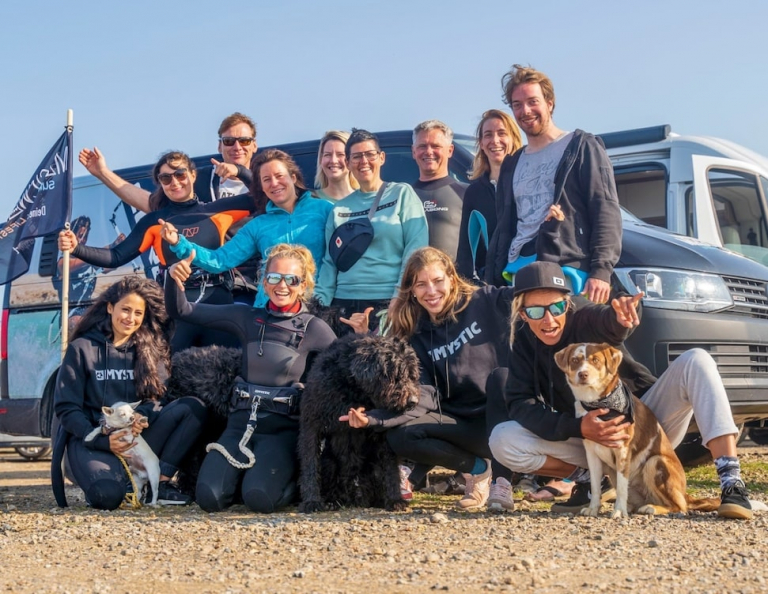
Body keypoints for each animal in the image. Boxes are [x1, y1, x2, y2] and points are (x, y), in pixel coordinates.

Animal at [298, 330, 420, 512]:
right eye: (396, 375)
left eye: (412, 376)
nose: (413, 402)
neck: (354, 387)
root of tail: (356, 497)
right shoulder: (311, 425)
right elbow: (310, 464)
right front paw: (312, 501)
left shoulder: (383, 436)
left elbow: (391, 469)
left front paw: (394, 499)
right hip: (330, 463)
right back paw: (332, 501)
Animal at [552, 342, 720, 520]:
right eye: (575, 360)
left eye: (595, 360)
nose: (583, 374)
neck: (597, 404)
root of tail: (685, 493)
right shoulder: (592, 454)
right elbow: (596, 486)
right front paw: (593, 508)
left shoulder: (623, 451)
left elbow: (621, 487)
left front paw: (619, 511)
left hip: (655, 462)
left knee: (679, 506)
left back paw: (651, 508)